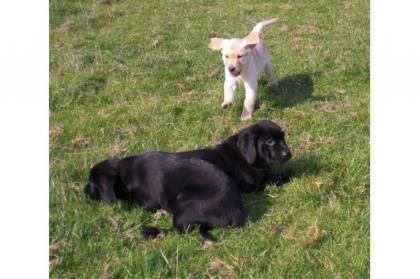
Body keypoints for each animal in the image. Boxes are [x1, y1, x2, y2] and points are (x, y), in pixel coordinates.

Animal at [83, 119, 290, 242]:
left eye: (92, 184)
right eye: (270, 141)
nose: (83, 191)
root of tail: (236, 213)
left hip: (184, 201)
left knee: (181, 230)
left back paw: (150, 232)